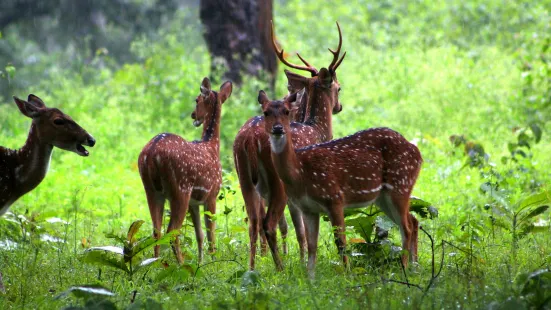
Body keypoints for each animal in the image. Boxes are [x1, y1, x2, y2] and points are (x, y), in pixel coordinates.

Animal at [138, 77, 233, 264]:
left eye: (197, 100)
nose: (193, 115)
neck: (212, 146)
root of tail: (151, 152)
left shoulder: (194, 203)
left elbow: (200, 235)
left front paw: (201, 262)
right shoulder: (211, 194)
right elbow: (211, 233)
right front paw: (212, 261)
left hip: (151, 190)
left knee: (156, 230)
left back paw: (155, 263)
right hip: (180, 189)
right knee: (171, 231)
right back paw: (181, 264)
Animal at [235, 21, 348, 270]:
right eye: (338, 87)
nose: (339, 106)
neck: (317, 129)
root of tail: (249, 139)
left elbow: (299, 231)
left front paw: (301, 259)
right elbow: (305, 230)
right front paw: (304, 262)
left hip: (244, 178)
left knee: (253, 223)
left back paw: (252, 268)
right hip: (277, 182)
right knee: (267, 223)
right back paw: (280, 268)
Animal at [260, 90, 424, 276]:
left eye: (287, 111)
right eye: (265, 112)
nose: (278, 128)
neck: (300, 173)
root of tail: (418, 153)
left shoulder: (334, 198)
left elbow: (341, 242)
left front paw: (347, 274)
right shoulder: (308, 208)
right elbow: (312, 245)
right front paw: (310, 278)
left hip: (400, 184)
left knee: (406, 227)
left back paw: (404, 267)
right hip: (384, 197)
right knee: (413, 220)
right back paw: (414, 266)